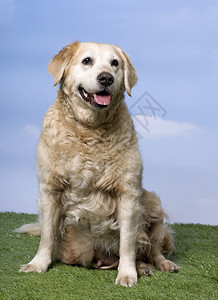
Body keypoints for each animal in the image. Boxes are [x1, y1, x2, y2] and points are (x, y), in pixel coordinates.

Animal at [17, 41, 179, 286]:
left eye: (115, 63)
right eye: (87, 61)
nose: (106, 78)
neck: (90, 130)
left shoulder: (128, 194)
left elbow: (127, 243)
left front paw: (127, 274)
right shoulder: (49, 190)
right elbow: (46, 236)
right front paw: (38, 264)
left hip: (152, 202)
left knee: (152, 247)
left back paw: (159, 264)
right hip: (77, 250)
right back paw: (141, 267)